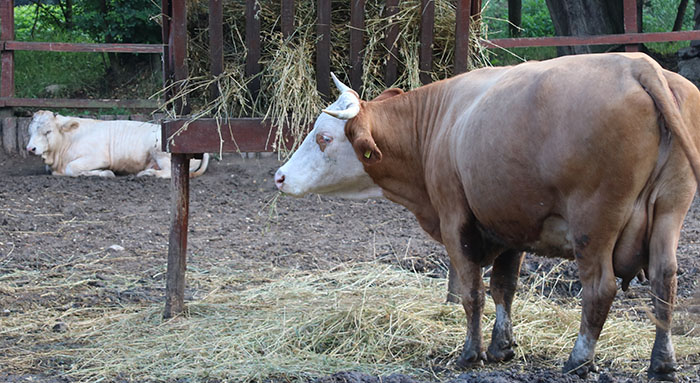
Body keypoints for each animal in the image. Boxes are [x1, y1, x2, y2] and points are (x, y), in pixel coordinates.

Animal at [25, 110, 211, 178]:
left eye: (48, 131)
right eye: (30, 131)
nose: (30, 148)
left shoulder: (98, 157)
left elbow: (73, 168)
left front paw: (104, 173)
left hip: (161, 153)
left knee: (168, 172)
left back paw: (148, 173)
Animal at [274, 53, 700, 380]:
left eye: (324, 137)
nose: (279, 176)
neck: (438, 123)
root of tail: (637, 64)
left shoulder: (455, 220)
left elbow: (472, 293)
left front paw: (471, 353)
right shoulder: (512, 226)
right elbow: (503, 289)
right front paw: (501, 346)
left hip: (593, 223)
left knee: (600, 289)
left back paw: (579, 360)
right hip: (669, 212)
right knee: (664, 280)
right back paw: (662, 362)